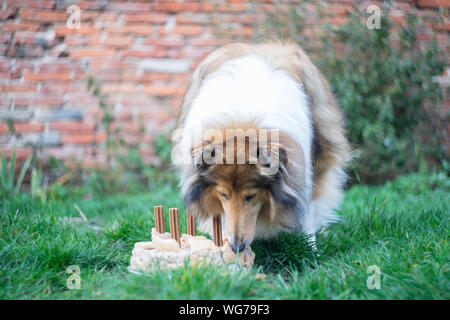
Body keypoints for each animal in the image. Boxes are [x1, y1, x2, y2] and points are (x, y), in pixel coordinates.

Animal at [172, 42, 352, 252]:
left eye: (252, 196)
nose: (237, 247)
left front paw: (311, 250)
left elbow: (307, 208)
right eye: (223, 194)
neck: (242, 120)